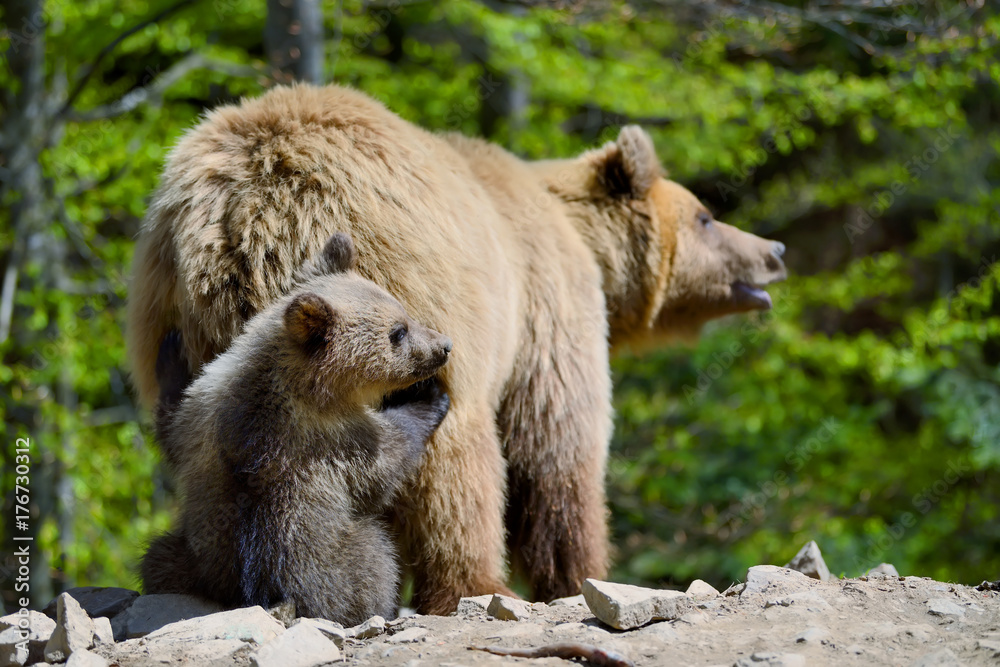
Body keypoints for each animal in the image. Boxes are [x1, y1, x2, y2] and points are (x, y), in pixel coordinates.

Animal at [125, 83, 784, 616]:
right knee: (453, 461)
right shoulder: (546, 306)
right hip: (406, 281)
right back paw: (475, 585)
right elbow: (557, 448)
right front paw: (579, 577)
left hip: (185, 321)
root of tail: (245, 210)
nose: (773, 250)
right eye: (706, 216)